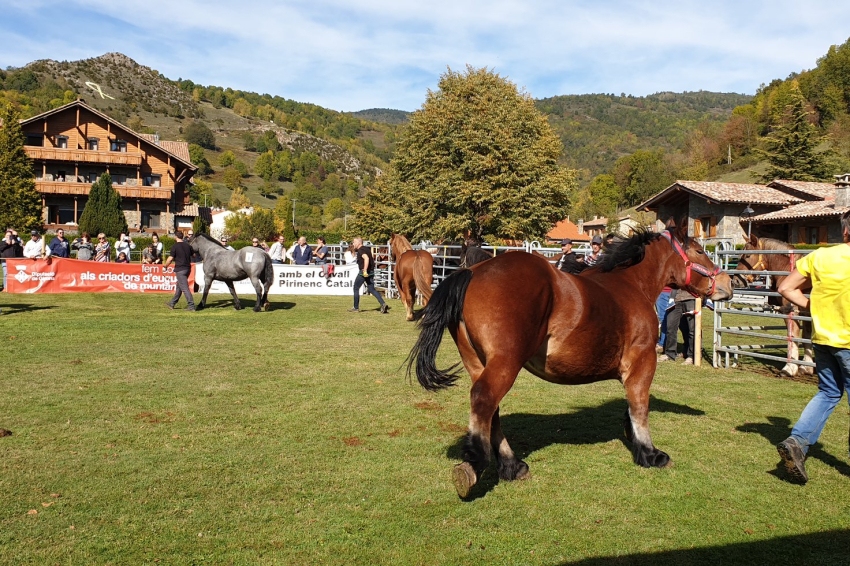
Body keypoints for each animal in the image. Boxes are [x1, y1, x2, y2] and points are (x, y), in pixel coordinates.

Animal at [407, 223, 734, 498]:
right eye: (700, 251)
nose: (727, 284)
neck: (630, 284)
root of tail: (473, 272)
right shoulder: (642, 361)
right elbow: (640, 406)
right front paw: (650, 454)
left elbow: (630, 407)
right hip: (505, 363)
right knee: (484, 399)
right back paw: (474, 464)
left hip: (479, 363)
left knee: (491, 410)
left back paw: (513, 466)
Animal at [732, 234, 814, 376]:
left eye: (747, 255)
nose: (736, 280)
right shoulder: (805, 313)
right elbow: (806, 337)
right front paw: (806, 367)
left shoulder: (790, 312)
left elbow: (793, 337)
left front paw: (789, 368)